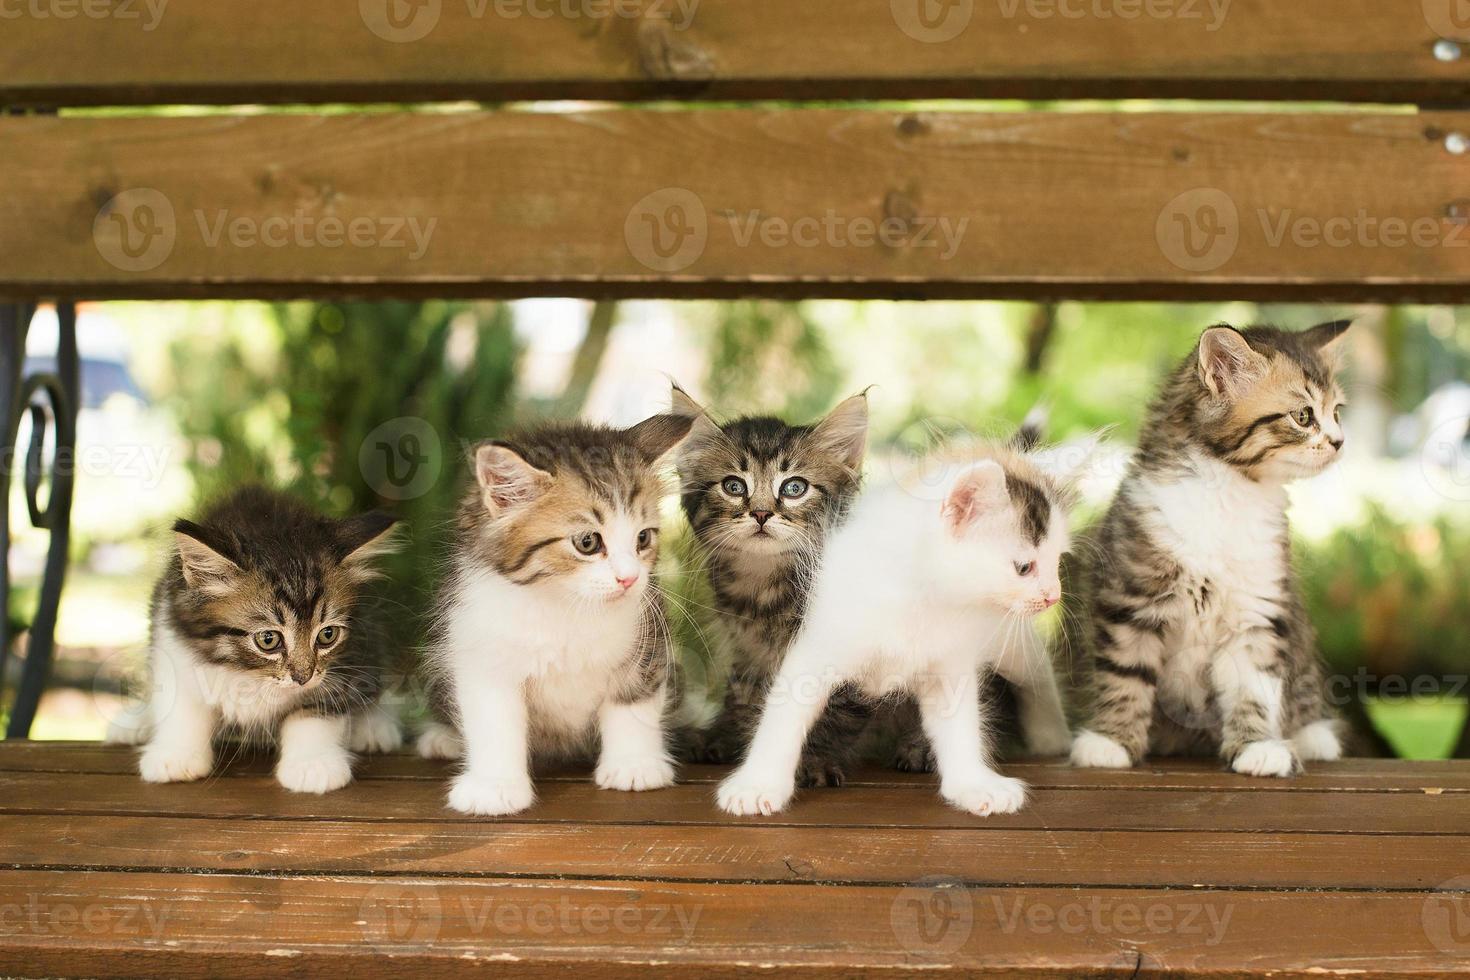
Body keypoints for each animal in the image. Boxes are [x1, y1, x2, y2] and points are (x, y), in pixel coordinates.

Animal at [414, 417, 687, 822]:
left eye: (643, 538)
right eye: (588, 543)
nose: (629, 579)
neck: (567, 604)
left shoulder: (647, 639)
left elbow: (633, 703)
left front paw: (634, 765)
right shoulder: (479, 647)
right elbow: (494, 722)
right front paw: (495, 787)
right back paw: (442, 738)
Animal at [670, 387, 870, 787]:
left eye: (794, 488)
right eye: (733, 486)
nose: (761, 513)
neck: (764, 590)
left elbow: (831, 709)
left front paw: (814, 758)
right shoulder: (747, 649)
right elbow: (745, 694)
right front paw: (727, 737)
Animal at [1070, 326, 1352, 775]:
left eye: (1337, 412)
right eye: (1304, 416)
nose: (1340, 442)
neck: (1230, 495)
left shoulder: (1257, 610)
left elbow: (1252, 688)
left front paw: (1258, 747)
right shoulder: (1130, 598)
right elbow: (1124, 675)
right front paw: (1111, 741)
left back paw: (1312, 737)